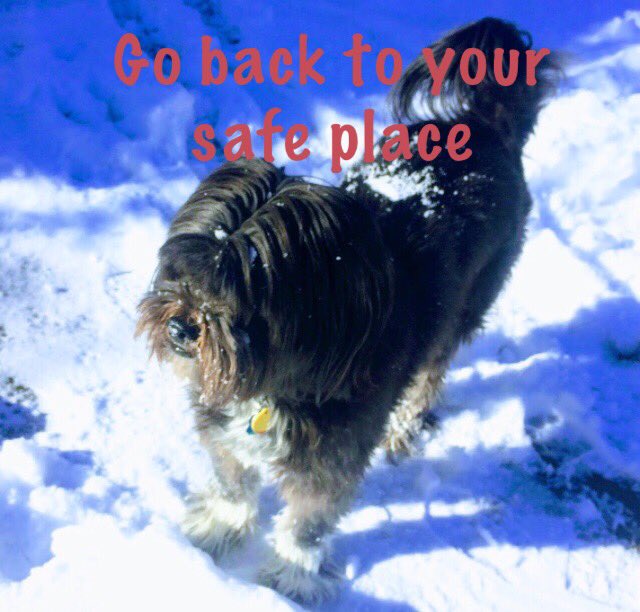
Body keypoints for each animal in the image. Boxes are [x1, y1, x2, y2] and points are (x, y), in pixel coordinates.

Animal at [137, 17, 559, 603]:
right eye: (186, 269)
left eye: (238, 286)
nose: (181, 327)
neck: (281, 374)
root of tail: (484, 124)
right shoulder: (221, 425)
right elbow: (233, 483)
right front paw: (221, 528)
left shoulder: (331, 459)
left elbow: (307, 523)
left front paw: (291, 578)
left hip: (462, 310)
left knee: (431, 373)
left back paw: (404, 429)